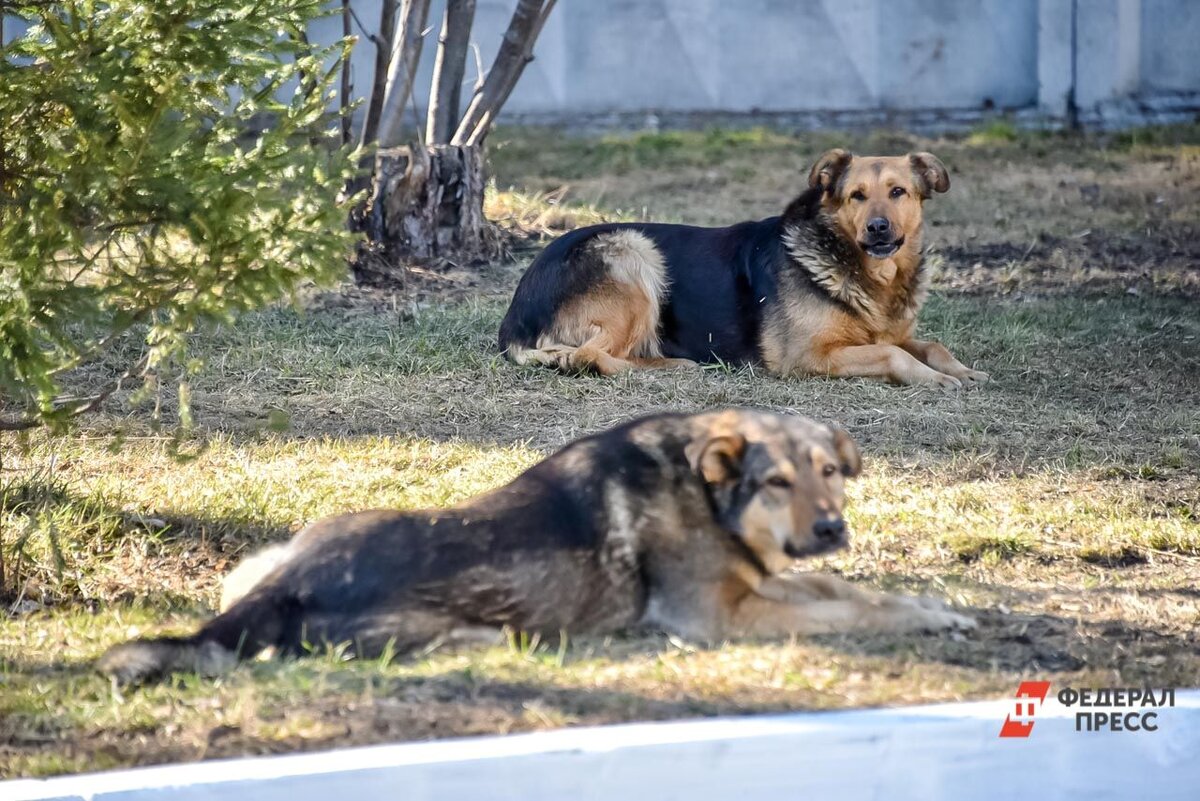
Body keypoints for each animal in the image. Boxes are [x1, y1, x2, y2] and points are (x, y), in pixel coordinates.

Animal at [93, 412, 974, 681]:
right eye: (777, 480)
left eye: (829, 472)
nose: (831, 528)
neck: (705, 488)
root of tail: (292, 579)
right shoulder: (720, 617)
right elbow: (842, 612)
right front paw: (916, 619)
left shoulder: (758, 585)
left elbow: (849, 591)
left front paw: (934, 606)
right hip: (450, 628)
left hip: (272, 551)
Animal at [501, 151, 988, 388]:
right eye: (857, 196)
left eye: (898, 191)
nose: (878, 228)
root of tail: (512, 322)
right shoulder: (808, 357)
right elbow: (894, 354)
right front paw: (937, 380)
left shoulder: (889, 334)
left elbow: (930, 345)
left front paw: (961, 371)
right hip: (633, 252)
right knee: (587, 356)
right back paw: (672, 367)